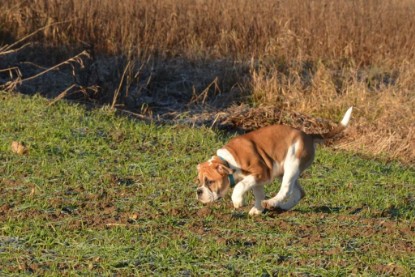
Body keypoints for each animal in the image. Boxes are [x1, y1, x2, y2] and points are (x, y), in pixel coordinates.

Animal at [197, 106, 352, 215]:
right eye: (199, 181)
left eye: (210, 182)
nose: (198, 191)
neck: (229, 160)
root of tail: (308, 135)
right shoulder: (256, 179)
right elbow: (258, 192)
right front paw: (257, 210)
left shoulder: (260, 173)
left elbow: (241, 185)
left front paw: (237, 201)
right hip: (283, 171)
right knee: (299, 193)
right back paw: (281, 207)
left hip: (292, 166)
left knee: (286, 190)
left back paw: (271, 203)